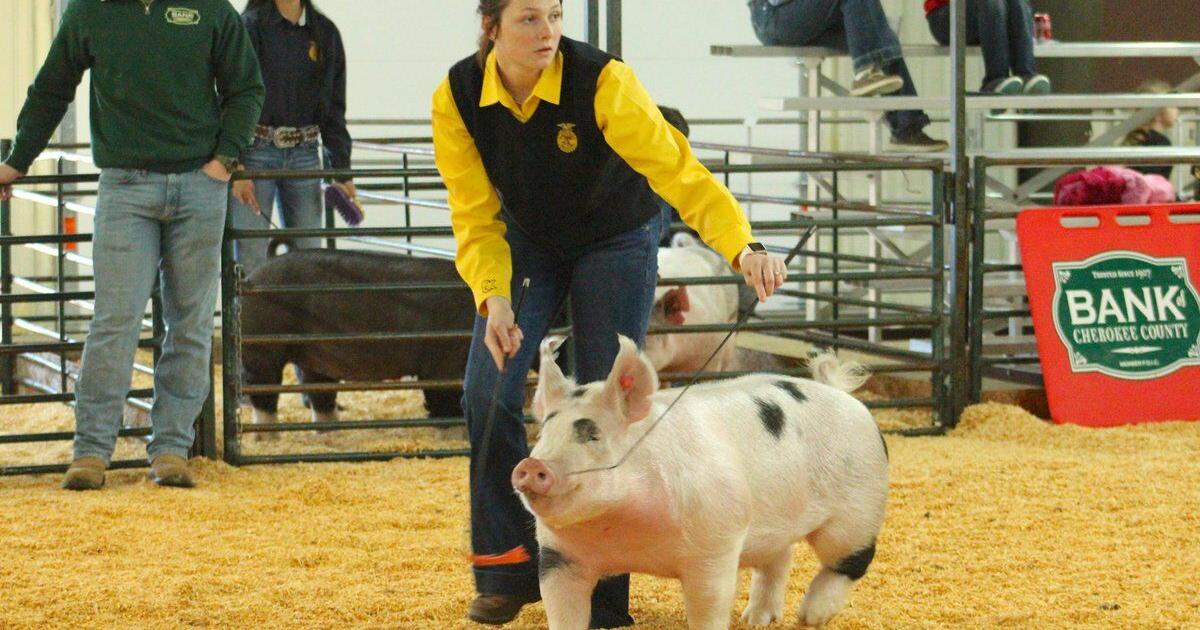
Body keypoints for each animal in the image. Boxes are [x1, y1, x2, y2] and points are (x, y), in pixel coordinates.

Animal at [238, 249, 475, 428]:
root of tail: (250, 278)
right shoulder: (441, 363)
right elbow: (445, 401)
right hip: (263, 352)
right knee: (263, 394)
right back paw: (267, 436)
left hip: (313, 360)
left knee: (320, 394)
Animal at [515, 335, 889, 629]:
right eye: (544, 433)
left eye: (592, 434)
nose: (532, 464)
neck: (624, 534)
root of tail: (845, 396)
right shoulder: (559, 558)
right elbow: (563, 610)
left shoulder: (715, 546)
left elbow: (709, 607)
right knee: (779, 557)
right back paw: (756, 620)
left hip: (858, 504)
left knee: (852, 557)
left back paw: (811, 617)